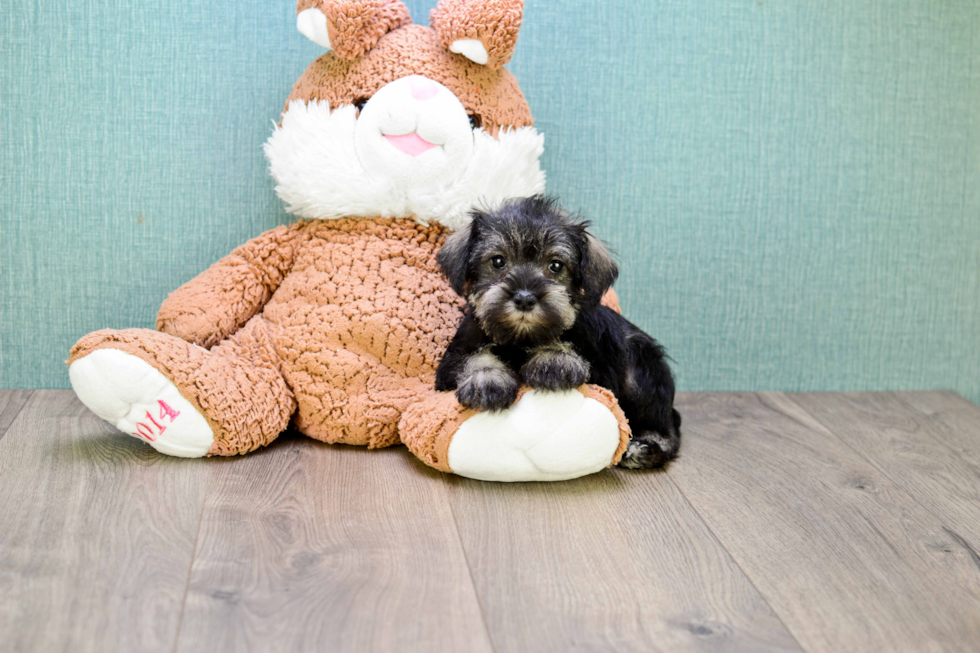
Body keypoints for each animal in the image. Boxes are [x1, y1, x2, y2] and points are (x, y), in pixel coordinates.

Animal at [436, 195, 680, 468]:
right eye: (498, 261)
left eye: (555, 265)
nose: (524, 298)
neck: (520, 339)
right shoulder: (451, 362)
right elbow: (477, 356)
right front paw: (487, 381)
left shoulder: (601, 371)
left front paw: (553, 360)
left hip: (641, 371)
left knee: (667, 427)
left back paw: (645, 448)